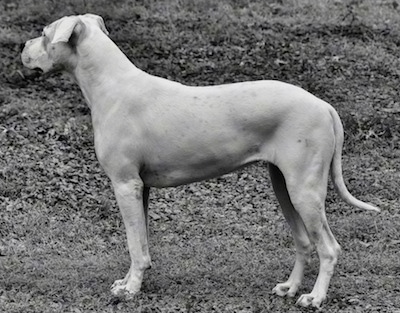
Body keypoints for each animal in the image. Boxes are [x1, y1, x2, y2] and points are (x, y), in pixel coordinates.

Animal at [21, 14, 378, 308]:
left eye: (44, 34)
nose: (22, 48)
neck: (111, 85)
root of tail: (323, 105)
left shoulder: (124, 185)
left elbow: (134, 245)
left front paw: (130, 290)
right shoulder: (140, 189)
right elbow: (141, 243)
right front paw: (129, 281)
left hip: (304, 190)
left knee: (328, 248)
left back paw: (314, 298)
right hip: (284, 186)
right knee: (304, 242)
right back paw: (290, 288)